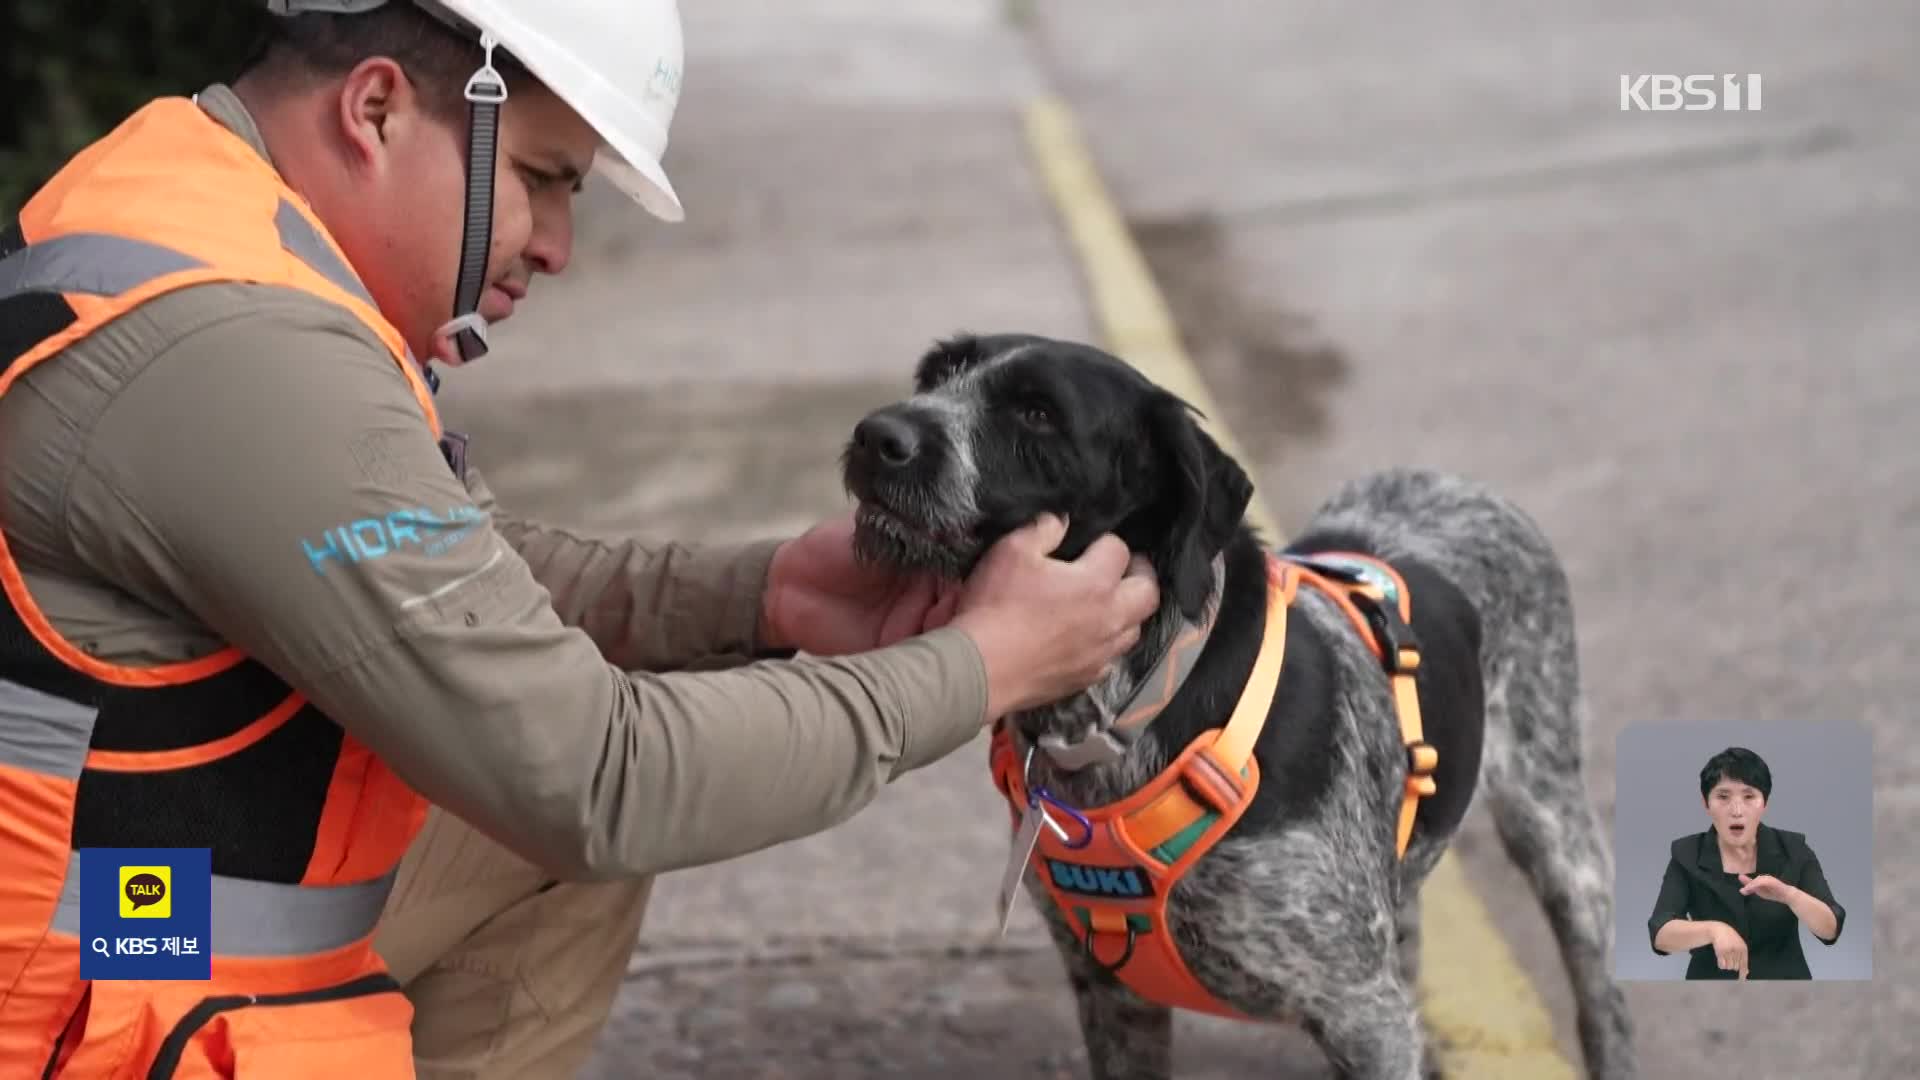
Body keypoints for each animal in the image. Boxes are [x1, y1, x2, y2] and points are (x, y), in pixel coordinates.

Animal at [840, 332, 1635, 1068]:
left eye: (1037, 413)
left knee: (1603, 1000)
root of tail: (1455, 484)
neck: (1118, 716)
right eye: (937, 375)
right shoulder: (1113, 996)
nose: (877, 435)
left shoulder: (1363, 1016)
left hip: (1557, 836)